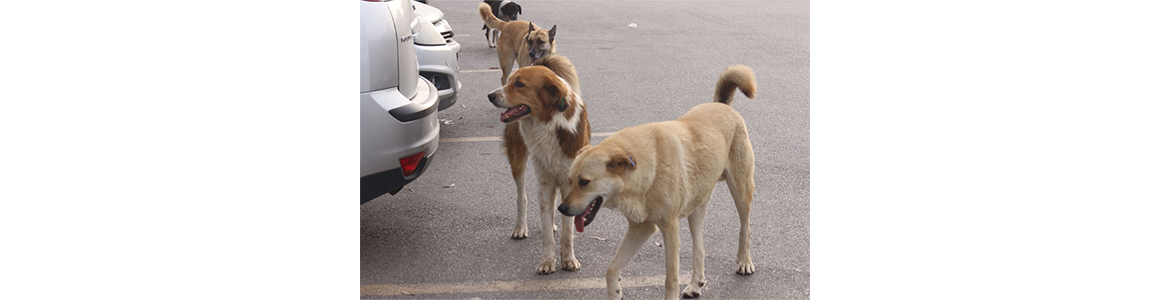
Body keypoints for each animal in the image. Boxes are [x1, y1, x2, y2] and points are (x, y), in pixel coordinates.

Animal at [486, 53, 589, 274]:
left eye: (519, 84)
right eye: (509, 81)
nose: (490, 95)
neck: (548, 123)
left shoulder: (568, 183)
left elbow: (568, 230)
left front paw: (568, 259)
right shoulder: (544, 182)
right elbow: (546, 229)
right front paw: (547, 261)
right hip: (518, 160)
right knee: (521, 197)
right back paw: (520, 227)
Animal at [556, 66, 758, 300]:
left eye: (584, 182)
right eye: (570, 181)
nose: (562, 209)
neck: (643, 168)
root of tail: (721, 105)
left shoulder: (670, 229)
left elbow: (671, 279)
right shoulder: (641, 228)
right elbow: (612, 269)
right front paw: (615, 291)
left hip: (741, 191)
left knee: (745, 227)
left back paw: (744, 261)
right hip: (696, 210)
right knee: (700, 248)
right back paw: (696, 284)